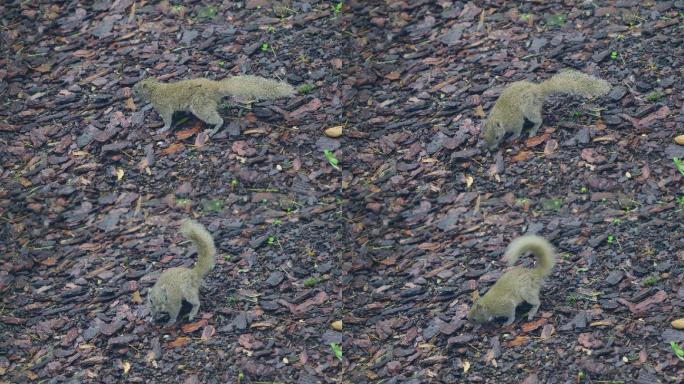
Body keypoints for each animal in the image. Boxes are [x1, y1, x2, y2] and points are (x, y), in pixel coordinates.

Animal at [134, 76, 294, 134]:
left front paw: (163, 128)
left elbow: (167, 119)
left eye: (136, 89)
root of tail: (215, 88)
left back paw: (214, 129)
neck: (155, 89)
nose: (132, 92)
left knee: (218, 119)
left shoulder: (163, 106)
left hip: (200, 105)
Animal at [478, 69, 612, 148]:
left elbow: (518, 129)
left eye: (497, 137)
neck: (499, 117)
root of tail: (539, 90)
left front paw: (513, 136)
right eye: (484, 135)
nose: (492, 148)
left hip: (530, 109)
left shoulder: (514, 121)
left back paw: (533, 130)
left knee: (539, 120)